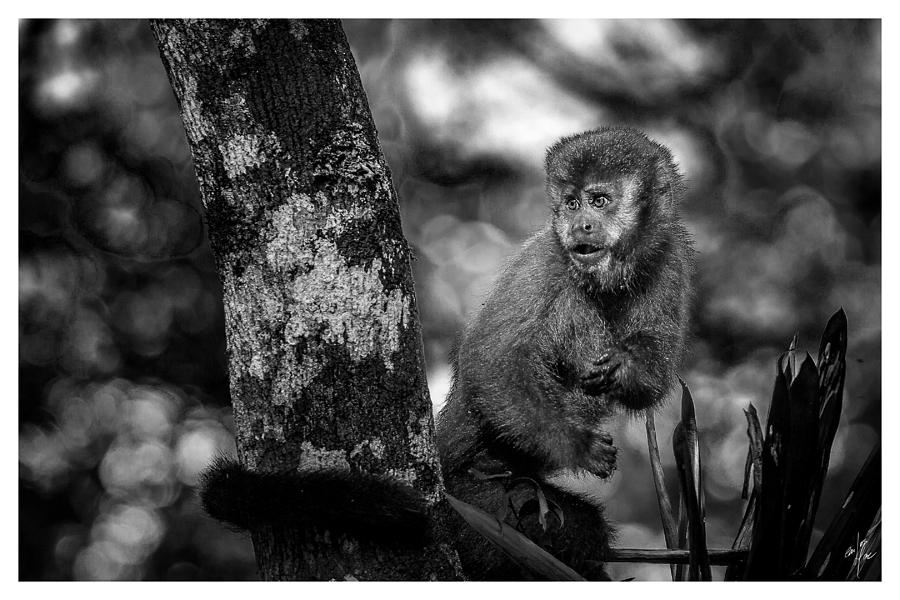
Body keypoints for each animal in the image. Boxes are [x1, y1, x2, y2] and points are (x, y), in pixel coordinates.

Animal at [202, 125, 696, 580]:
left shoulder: (672, 259)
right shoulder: (546, 261)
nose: (580, 226)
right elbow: (491, 363)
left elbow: (653, 379)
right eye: (572, 204)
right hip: (471, 504)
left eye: (599, 200)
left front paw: (626, 368)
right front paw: (574, 445)